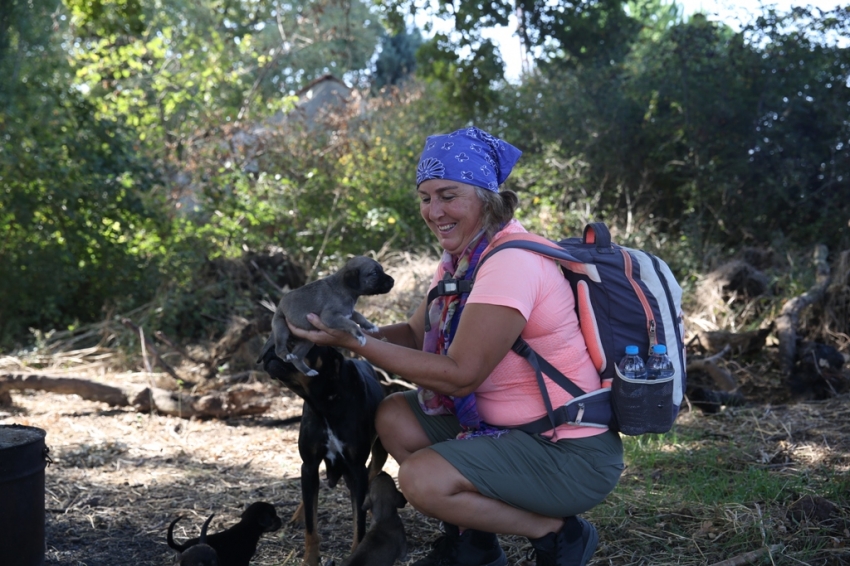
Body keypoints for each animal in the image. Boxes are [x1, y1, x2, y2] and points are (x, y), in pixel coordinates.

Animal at [256, 256, 392, 380]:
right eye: (374, 273)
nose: (393, 280)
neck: (345, 288)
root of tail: (278, 308)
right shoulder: (329, 317)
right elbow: (351, 323)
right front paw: (360, 335)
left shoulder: (348, 312)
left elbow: (359, 316)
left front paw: (370, 326)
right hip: (281, 328)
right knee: (279, 348)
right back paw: (286, 356)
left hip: (307, 341)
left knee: (297, 357)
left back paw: (308, 371)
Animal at [260, 346, 390, 566]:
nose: (271, 350)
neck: (325, 403)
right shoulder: (309, 464)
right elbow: (311, 524)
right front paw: (310, 559)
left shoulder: (357, 469)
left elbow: (359, 523)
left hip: (380, 453)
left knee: (371, 476)